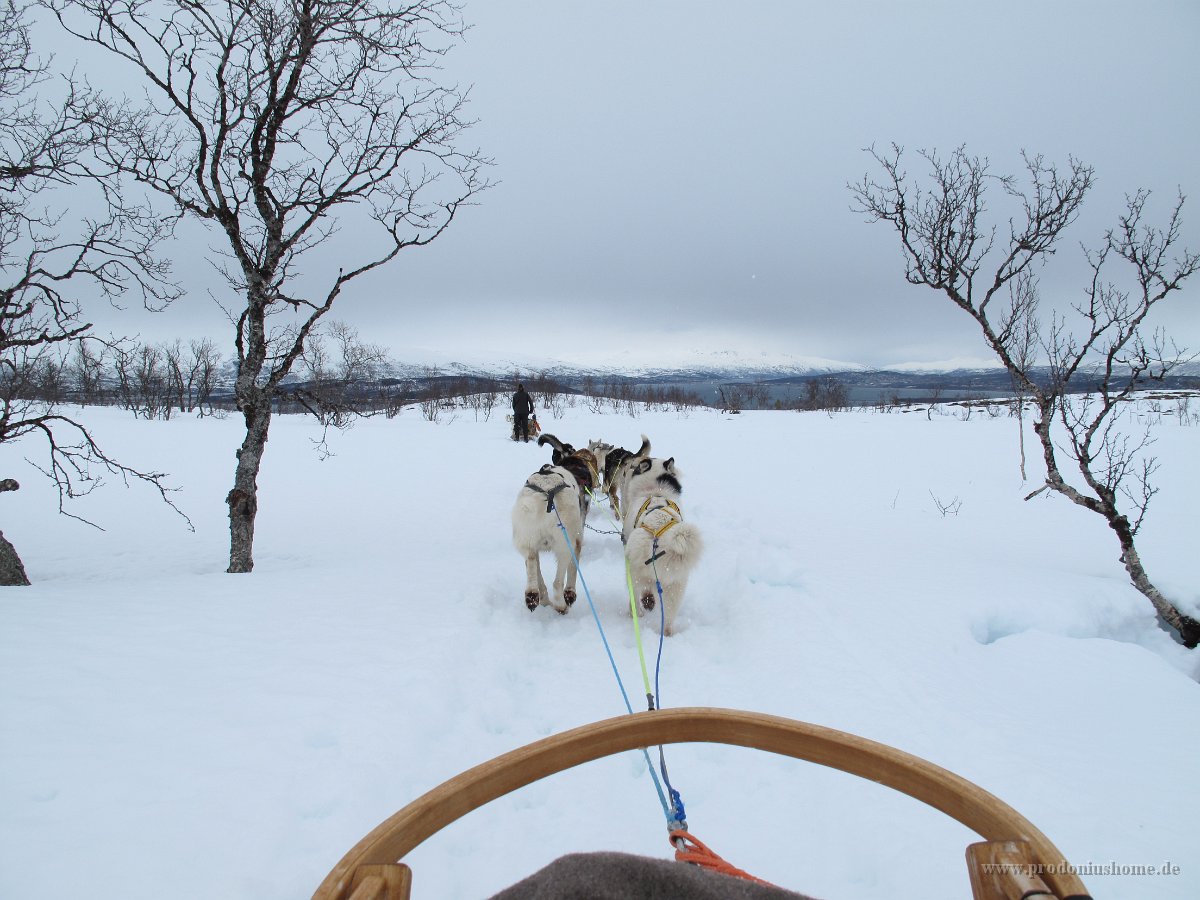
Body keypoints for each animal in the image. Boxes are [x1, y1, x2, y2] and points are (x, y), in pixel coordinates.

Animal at [619, 451, 700, 633]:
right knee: (668, 620)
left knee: (636, 597)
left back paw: (635, 613)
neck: (656, 490)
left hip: (633, 574)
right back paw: (666, 631)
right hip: (676, 586)